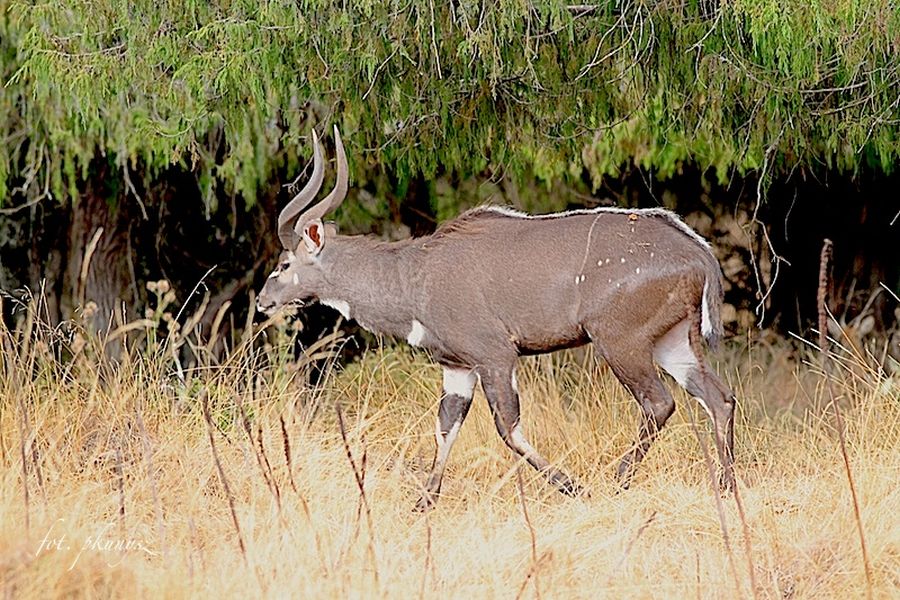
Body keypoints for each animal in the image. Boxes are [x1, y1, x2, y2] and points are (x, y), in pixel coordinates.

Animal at [256, 127, 736, 510]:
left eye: (284, 263)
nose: (262, 301)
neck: (414, 276)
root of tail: (700, 255)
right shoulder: (458, 368)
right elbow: (446, 426)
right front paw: (424, 503)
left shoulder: (496, 356)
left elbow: (507, 427)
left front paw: (574, 488)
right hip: (672, 342)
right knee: (719, 398)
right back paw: (727, 487)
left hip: (620, 342)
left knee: (659, 403)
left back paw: (617, 481)